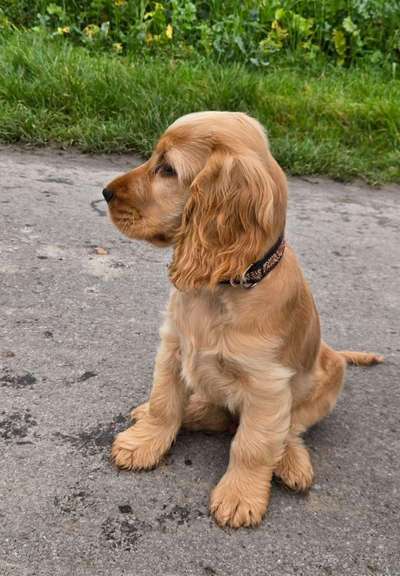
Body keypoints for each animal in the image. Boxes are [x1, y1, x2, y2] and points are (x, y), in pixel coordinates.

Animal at [101, 110, 382, 528]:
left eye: (167, 169)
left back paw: (292, 463)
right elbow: (165, 403)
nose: (105, 192)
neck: (221, 287)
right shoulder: (173, 348)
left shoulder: (267, 384)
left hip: (329, 376)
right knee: (213, 412)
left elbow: (252, 445)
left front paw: (239, 496)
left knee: (289, 429)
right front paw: (143, 442)